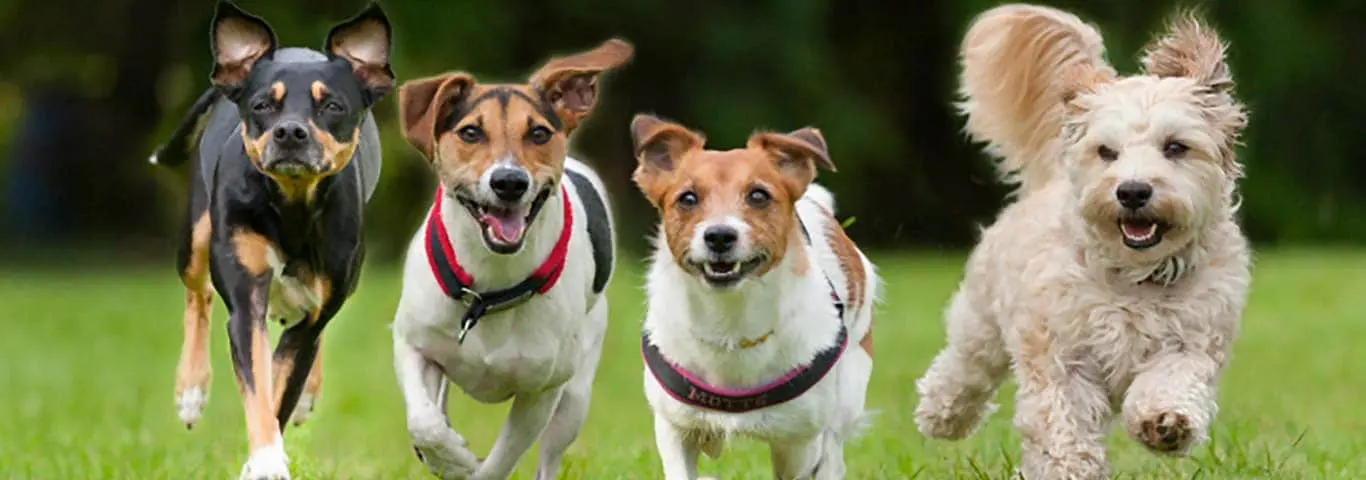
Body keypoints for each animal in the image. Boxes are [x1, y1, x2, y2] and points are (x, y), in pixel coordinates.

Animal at [150, 1, 396, 478]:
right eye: (263, 105)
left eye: (332, 105)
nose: (290, 132)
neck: (292, 207)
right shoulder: (247, 302)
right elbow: (260, 390)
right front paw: (265, 461)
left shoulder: (312, 314)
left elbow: (283, 387)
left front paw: (267, 453)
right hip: (196, 235)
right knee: (197, 294)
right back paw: (190, 391)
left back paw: (307, 395)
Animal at [387, 39, 631, 478]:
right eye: (470, 132)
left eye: (538, 133)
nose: (509, 181)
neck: (489, 288)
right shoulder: (413, 344)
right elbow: (425, 422)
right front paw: (451, 457)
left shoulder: (541, 391)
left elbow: (499, 461)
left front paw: (468, 466)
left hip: (574, 397)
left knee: (551, 454)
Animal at [631, 114, 879, 478]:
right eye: (688, 198)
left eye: (759, 196)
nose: (719, 235)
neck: (730, 320)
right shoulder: (675, 428)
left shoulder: (798, 442)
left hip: (846, 393)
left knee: (834, 452)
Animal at [912, 4, 1251, 480]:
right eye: (1107, 151)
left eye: (1176, 147)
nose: (1132, 191)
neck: (1134, 279)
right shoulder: (1061, 358)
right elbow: (1062, 425)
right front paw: (1069, 467)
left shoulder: (1193, 340)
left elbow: (1172, 379)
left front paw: (1165, 422)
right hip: (982, 318)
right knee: (965, 365)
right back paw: (942, 413)